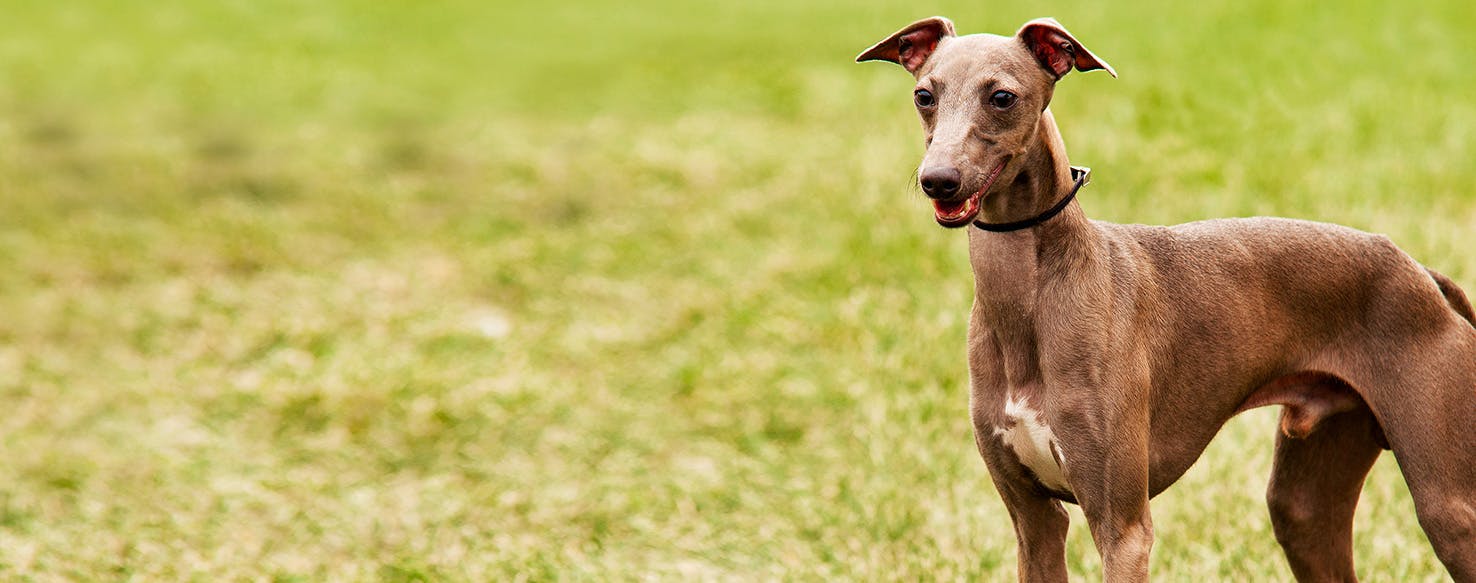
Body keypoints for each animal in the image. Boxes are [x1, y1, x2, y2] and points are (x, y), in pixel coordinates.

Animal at [861, 15, 1476, 581]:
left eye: (1002, 97)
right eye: (923, 95)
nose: (938, 180)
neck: (1031, 300)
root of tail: (1421, 273)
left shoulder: (1123, 528)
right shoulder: (1033, 522)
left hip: (1447, 507)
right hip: (1305, 507)